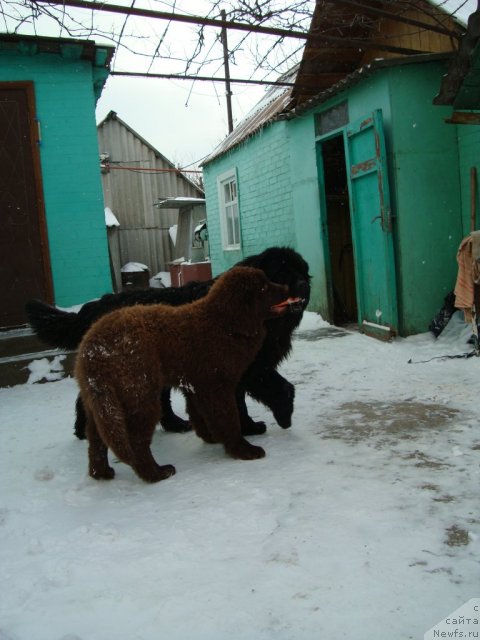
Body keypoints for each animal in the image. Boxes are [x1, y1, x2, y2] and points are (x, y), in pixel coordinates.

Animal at [25, 246, 312, 440]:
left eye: (302, 270)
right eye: (282, 272)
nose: (303, 284)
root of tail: (99, 304)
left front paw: (253, 425)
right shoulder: (247, 369)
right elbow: (276, 388)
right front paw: (277, 416)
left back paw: (175, 424)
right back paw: (84, 431)